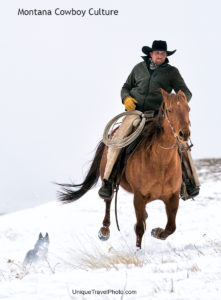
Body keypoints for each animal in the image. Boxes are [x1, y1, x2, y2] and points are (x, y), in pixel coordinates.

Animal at [58, 89, 190, 248]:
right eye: (170, 110)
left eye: (188, 109)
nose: (184, 133)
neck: (161, 164)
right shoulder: (139, 197)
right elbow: (140, 228)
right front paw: (138, 251)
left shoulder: (173, 197)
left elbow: (171, 227)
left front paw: (156, 232)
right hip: (108, 177)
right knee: (108, 200)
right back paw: (104, 230)